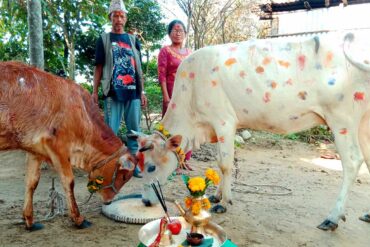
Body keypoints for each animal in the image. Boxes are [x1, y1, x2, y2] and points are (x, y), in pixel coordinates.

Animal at [0, 60, 134, 231]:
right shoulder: (57, 147)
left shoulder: (34, 149)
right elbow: (68, 181)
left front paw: (29, 220)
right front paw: (78, 219)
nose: (109, 201)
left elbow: (31, 182)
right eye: (124, 176)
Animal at [137, 30, 370, 230]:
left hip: (342, 119)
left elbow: (225, 164)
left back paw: (333, 217)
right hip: (363, 123)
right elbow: (220, 162)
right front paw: (216, 195)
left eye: (151, 166)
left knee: (353, 161)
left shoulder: (224, 121)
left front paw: (224, 202)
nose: (146, 201)